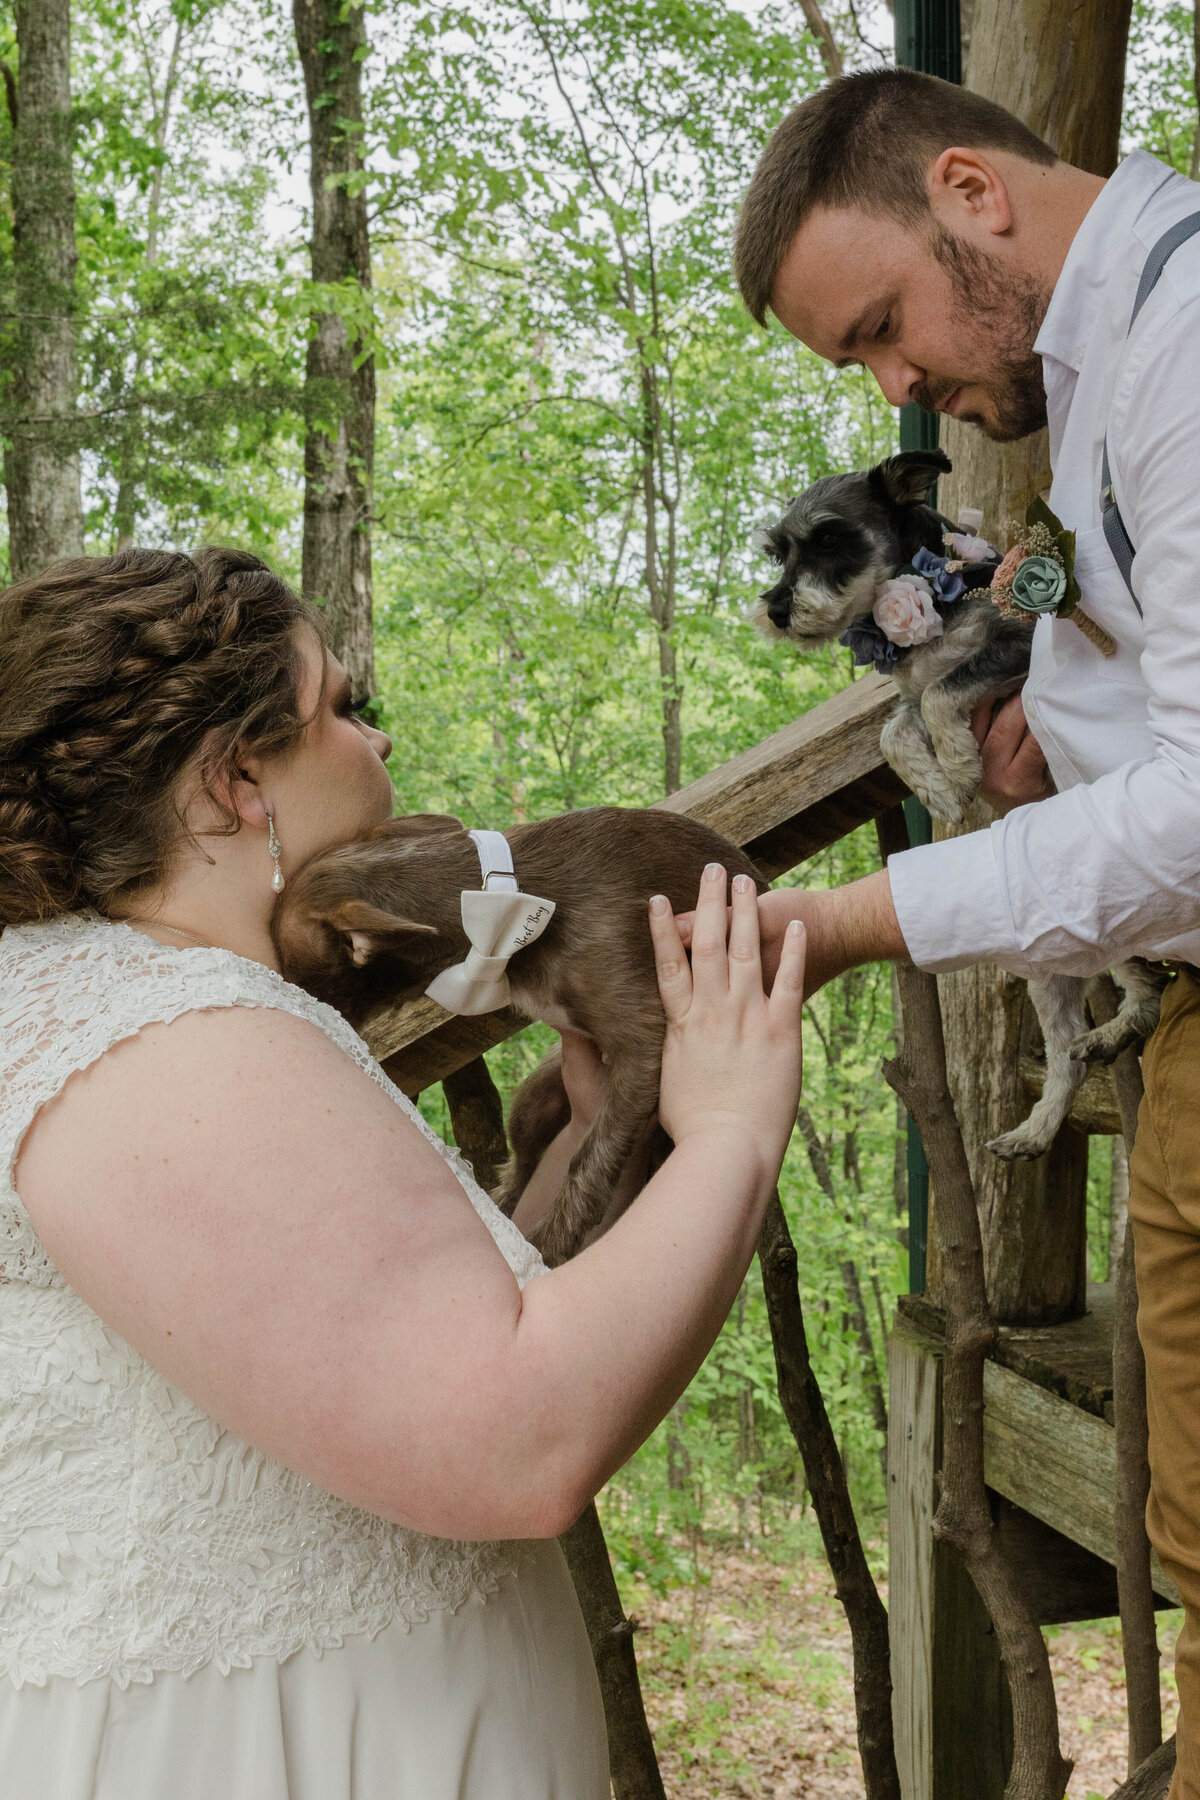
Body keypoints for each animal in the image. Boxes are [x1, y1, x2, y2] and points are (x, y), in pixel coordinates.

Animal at [271, 810, 766, 1274]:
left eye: (289, 967)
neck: (499, 907)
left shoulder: (644, 1040)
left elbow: (591, 1155)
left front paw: (553, 1242)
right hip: (535, 1099)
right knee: (524, 1161)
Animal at [755, 442, 1158, 1159]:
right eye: (781, 552)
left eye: (829, 539)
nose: (775, 609)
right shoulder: (914, 692)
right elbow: (892, 732)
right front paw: (938, 786)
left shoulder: (1012, 652)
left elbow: (946, 696)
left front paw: (961, 768)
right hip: (1052, 979)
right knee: (1068, 1051)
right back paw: (1039, 1122)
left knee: (1149, 994)